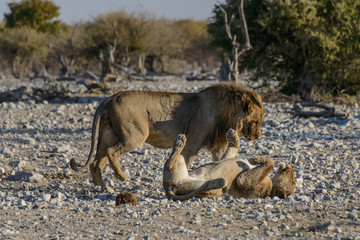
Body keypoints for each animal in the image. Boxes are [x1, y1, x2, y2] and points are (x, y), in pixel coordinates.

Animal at [70, 83, 262, 187]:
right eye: (256, 121)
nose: (258, 136)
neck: (227, 113)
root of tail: (110, 98)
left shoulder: (218, 145)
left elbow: (221, 160)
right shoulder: (192, 142)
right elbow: (185, 159)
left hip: (109, 134)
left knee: (96, 163)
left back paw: (102, 187)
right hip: (135, 135)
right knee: (112, 152)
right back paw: (121, 176)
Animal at [163, 129, 296, 201]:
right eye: (294, 181)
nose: (292, 167)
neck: (271, 190)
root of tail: (167, 187)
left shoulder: (244, 181)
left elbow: (271, 163)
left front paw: (254, 159)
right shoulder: (227, 158)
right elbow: (231, 151)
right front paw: (233, 136)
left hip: (196, 183)